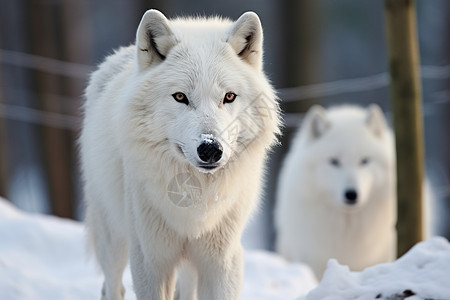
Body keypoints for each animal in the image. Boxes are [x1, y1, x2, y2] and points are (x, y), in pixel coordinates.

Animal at [79, 9, 280, 300]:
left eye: (229, 97)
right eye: (180, 97)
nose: (210, 148)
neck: (194, 203)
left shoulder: (222, 262)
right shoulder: (150, 260)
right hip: (113, 237)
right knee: (112, 286)